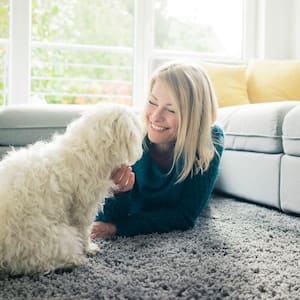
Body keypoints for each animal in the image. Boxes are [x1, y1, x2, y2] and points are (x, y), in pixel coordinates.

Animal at [0, 103, 144, 274]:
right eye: (134, 121)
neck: (88, 149)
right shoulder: (83, 207)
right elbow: (84, 229)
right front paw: (88, 248)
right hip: (56, 238)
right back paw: (74, 260)